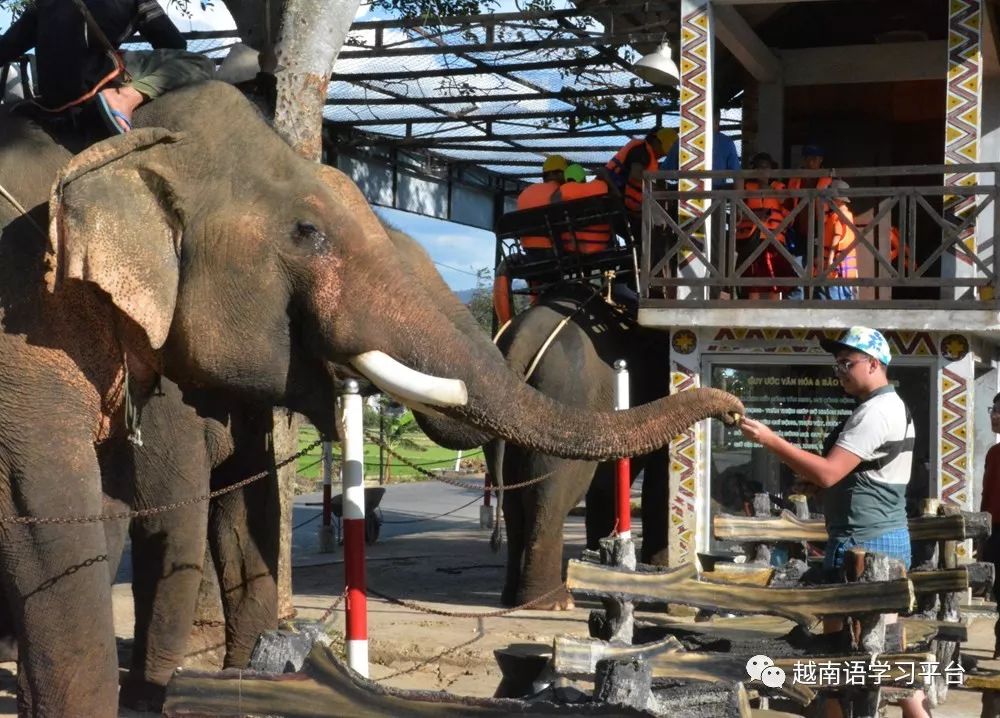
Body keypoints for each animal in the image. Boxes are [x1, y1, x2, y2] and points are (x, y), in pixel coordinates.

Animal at [488, 284, 676, 612]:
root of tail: (520, 341)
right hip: (565, 400)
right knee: (549, 491)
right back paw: (553, 603)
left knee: (512, 500)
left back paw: (513, 598)